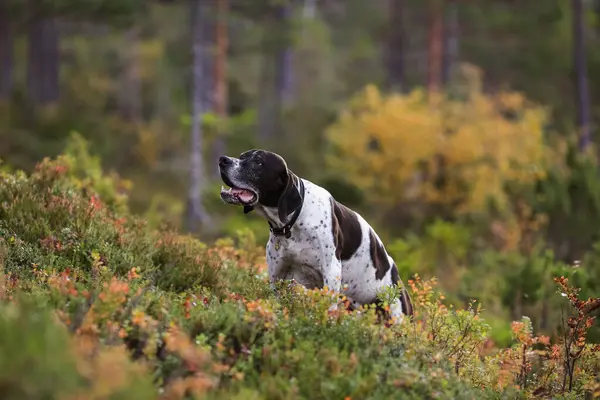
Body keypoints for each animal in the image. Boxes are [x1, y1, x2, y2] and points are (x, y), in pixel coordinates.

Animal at [219, 148, 412, 324]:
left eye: (258, 162)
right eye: (242, 156)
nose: (223, 160)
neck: (292, 224)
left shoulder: (331, 271)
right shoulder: (277, 275)